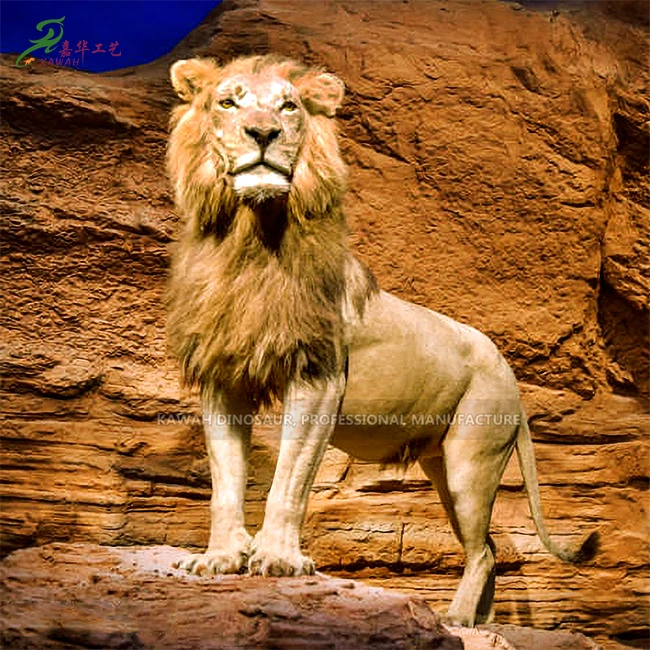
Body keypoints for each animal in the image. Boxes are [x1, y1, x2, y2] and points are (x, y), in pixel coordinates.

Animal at [165, 54, 598, 627]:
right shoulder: (224, 376)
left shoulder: (319, 375)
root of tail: (510, 373)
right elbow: (226, 482)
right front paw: (219, 558)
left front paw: (278, 560)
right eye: (228, 102)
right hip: (442, 466)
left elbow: (290, 479)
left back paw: (455, 621)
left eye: (289, 106)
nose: (263, 133)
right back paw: (477, 623)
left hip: (472, 460)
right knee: (488, 549)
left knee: (483, 551)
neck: (250, 244)